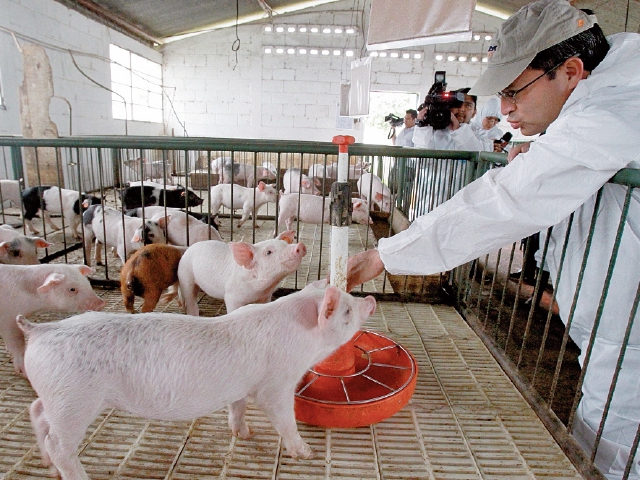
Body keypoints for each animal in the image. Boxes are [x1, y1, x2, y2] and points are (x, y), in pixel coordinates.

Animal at [20, 284, 378, 478]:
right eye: (346, 312)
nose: (371, 299)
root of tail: (40, 330)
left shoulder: (241, 386)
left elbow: (237, 407)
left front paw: (244, 435)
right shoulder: (276, 384)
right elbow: (282, 416)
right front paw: (306, 454)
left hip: (56, 395)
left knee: (36, 411)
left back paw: (46, 466)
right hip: (75, 400)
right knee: (58, 443)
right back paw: (75, 474)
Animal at [178, 230, 308, 316]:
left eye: (285, 244)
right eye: (268, 252)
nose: (300, 245)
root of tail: (188, 249)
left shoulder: (265, 296)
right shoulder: (231, 296)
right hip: (185, 275)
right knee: (189, 297)